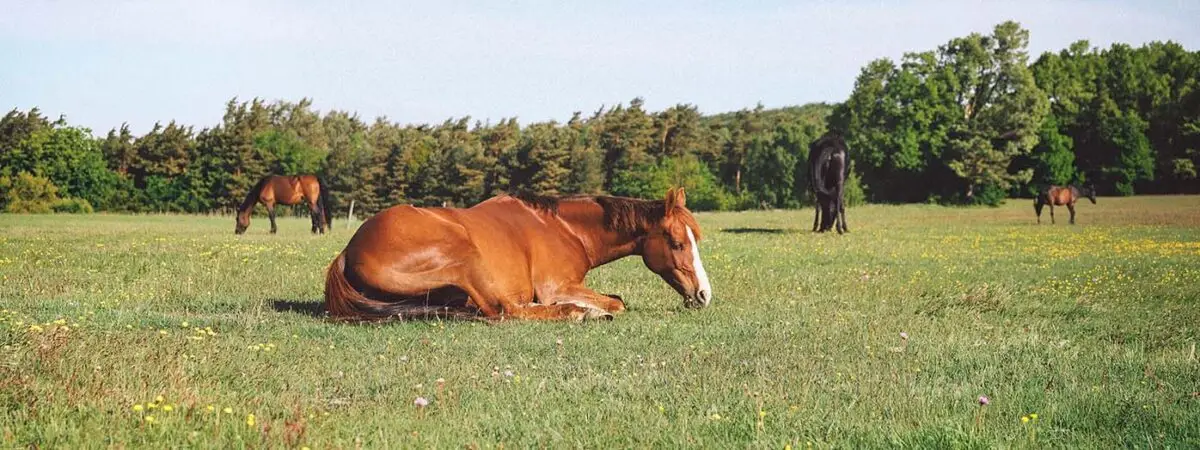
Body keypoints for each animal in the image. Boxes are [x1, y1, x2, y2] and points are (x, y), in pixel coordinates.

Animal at [324, 188, 713, 322]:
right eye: (677, 243)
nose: (704, 295)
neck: (564, 228)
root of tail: (348, 252)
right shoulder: (557, 286)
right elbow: (616, 302)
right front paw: (587, 308)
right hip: (464, 257)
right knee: (504, 310)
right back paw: (577, 313)